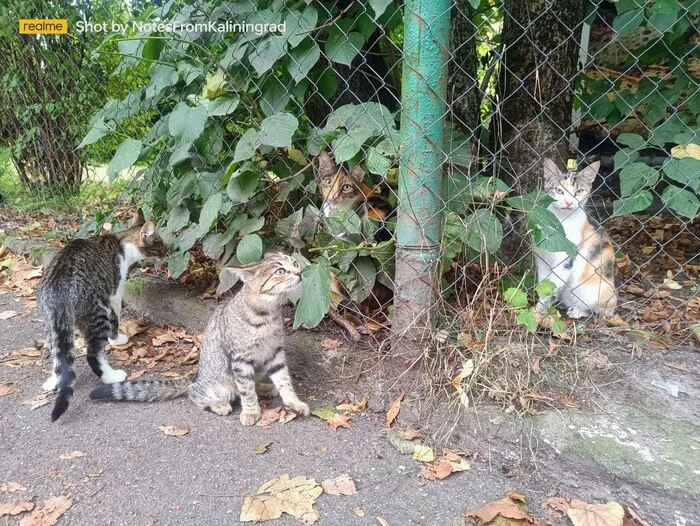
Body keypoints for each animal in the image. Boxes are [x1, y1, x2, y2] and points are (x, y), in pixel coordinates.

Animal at [39, 212, 167, 422]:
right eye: (160, 245)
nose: (167, 253)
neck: (121, 242)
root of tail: (59, 292)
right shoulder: (114, 294)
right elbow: (116, 319)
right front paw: (116, 339)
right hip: (96, 314)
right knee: (92, 353)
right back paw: (111, 376)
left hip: (51, 325)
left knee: (59, 356)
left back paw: (53, 380)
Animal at [88, 253, 308, 428]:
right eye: (280, 271)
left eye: (295, 262)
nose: (299, 272)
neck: (268, 314)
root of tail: (196, 376)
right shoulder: (240, 358)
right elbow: (246, 390)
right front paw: (251, 411)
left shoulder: (275, 352)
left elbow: (284, 381)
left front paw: (294, 403)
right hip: (218, 383)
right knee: (196, 392)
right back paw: (219, 404)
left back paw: (264, 387)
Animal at [532, 159, 616, 320]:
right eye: (559, 191)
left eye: (578, 191)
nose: (569, 202)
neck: (560, 220)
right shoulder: (542, 259)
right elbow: (544, 284)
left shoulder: (565, 260)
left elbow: (552, 287)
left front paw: (538, 312)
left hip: (595, 290)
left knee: (602, 311)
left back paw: (577, 311)